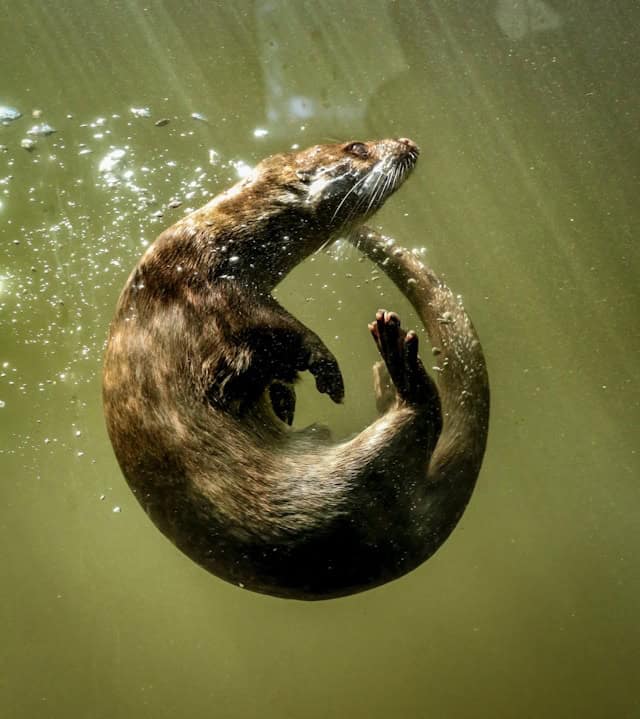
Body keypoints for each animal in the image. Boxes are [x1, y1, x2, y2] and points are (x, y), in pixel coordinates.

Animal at [102, 138, 490, 600]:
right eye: (357, 147)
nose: (408, 143)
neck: (215, 241)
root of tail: (411, 537)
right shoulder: (218, 294)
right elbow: (284, 334)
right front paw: (326, 372)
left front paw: (282, 397)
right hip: (339, 495)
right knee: (419, 415)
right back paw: (397, 357)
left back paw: (385, 380)